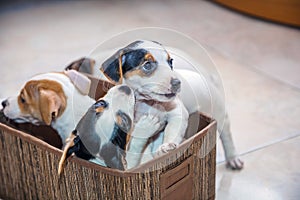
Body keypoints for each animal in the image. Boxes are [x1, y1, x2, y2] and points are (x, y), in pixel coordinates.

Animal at [99, 39, 243, 170]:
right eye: (147, 65)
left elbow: (172, 131)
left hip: (219, 111)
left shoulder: (178, 113)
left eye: (170, 61)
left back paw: (233, 158)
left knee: (226, 135)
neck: (149, 103)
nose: (177, 83)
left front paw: (166, 146)